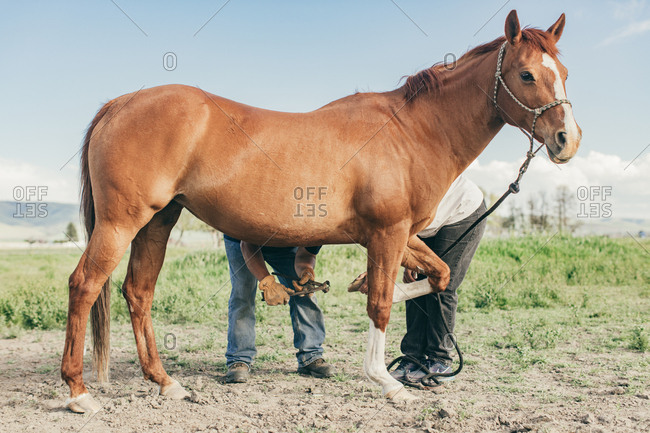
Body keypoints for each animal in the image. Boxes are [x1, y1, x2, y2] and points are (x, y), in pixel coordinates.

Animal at [61, 10, 581, 412]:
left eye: (565, 71)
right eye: (527, 74)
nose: (567, 141)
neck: (411, 132)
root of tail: (120, 103)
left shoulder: (400, 235)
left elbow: (437, 276)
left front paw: (363, 287)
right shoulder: (388, 234)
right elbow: (381, 304)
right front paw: (387, 382)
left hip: (157, 222)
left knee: (138, 292)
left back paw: (166, 384)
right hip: (121, 223)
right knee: (85, 285)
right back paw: (79, 392)